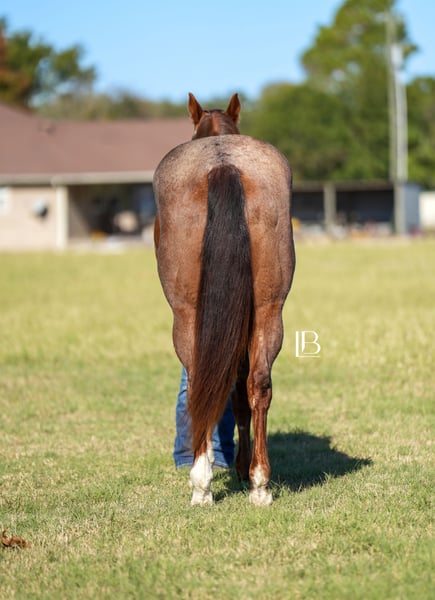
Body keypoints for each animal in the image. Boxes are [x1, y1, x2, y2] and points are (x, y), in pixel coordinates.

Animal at [153, 93, 295, 506]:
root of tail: (224, 164)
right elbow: (242, 395)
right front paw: (245, 469)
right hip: (268, 311)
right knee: (259, 385)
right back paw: (261, 484)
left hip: (187, 317)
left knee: (203, 382)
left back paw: (202, 485)